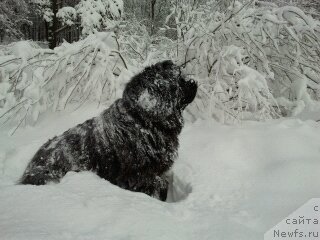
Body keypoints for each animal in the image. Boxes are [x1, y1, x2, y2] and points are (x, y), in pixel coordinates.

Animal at [19, 60, 198, 201]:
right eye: (178, 81)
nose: (193, 81)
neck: (144, 122)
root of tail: (31, 165)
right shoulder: (136, 176)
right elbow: (159, 183)